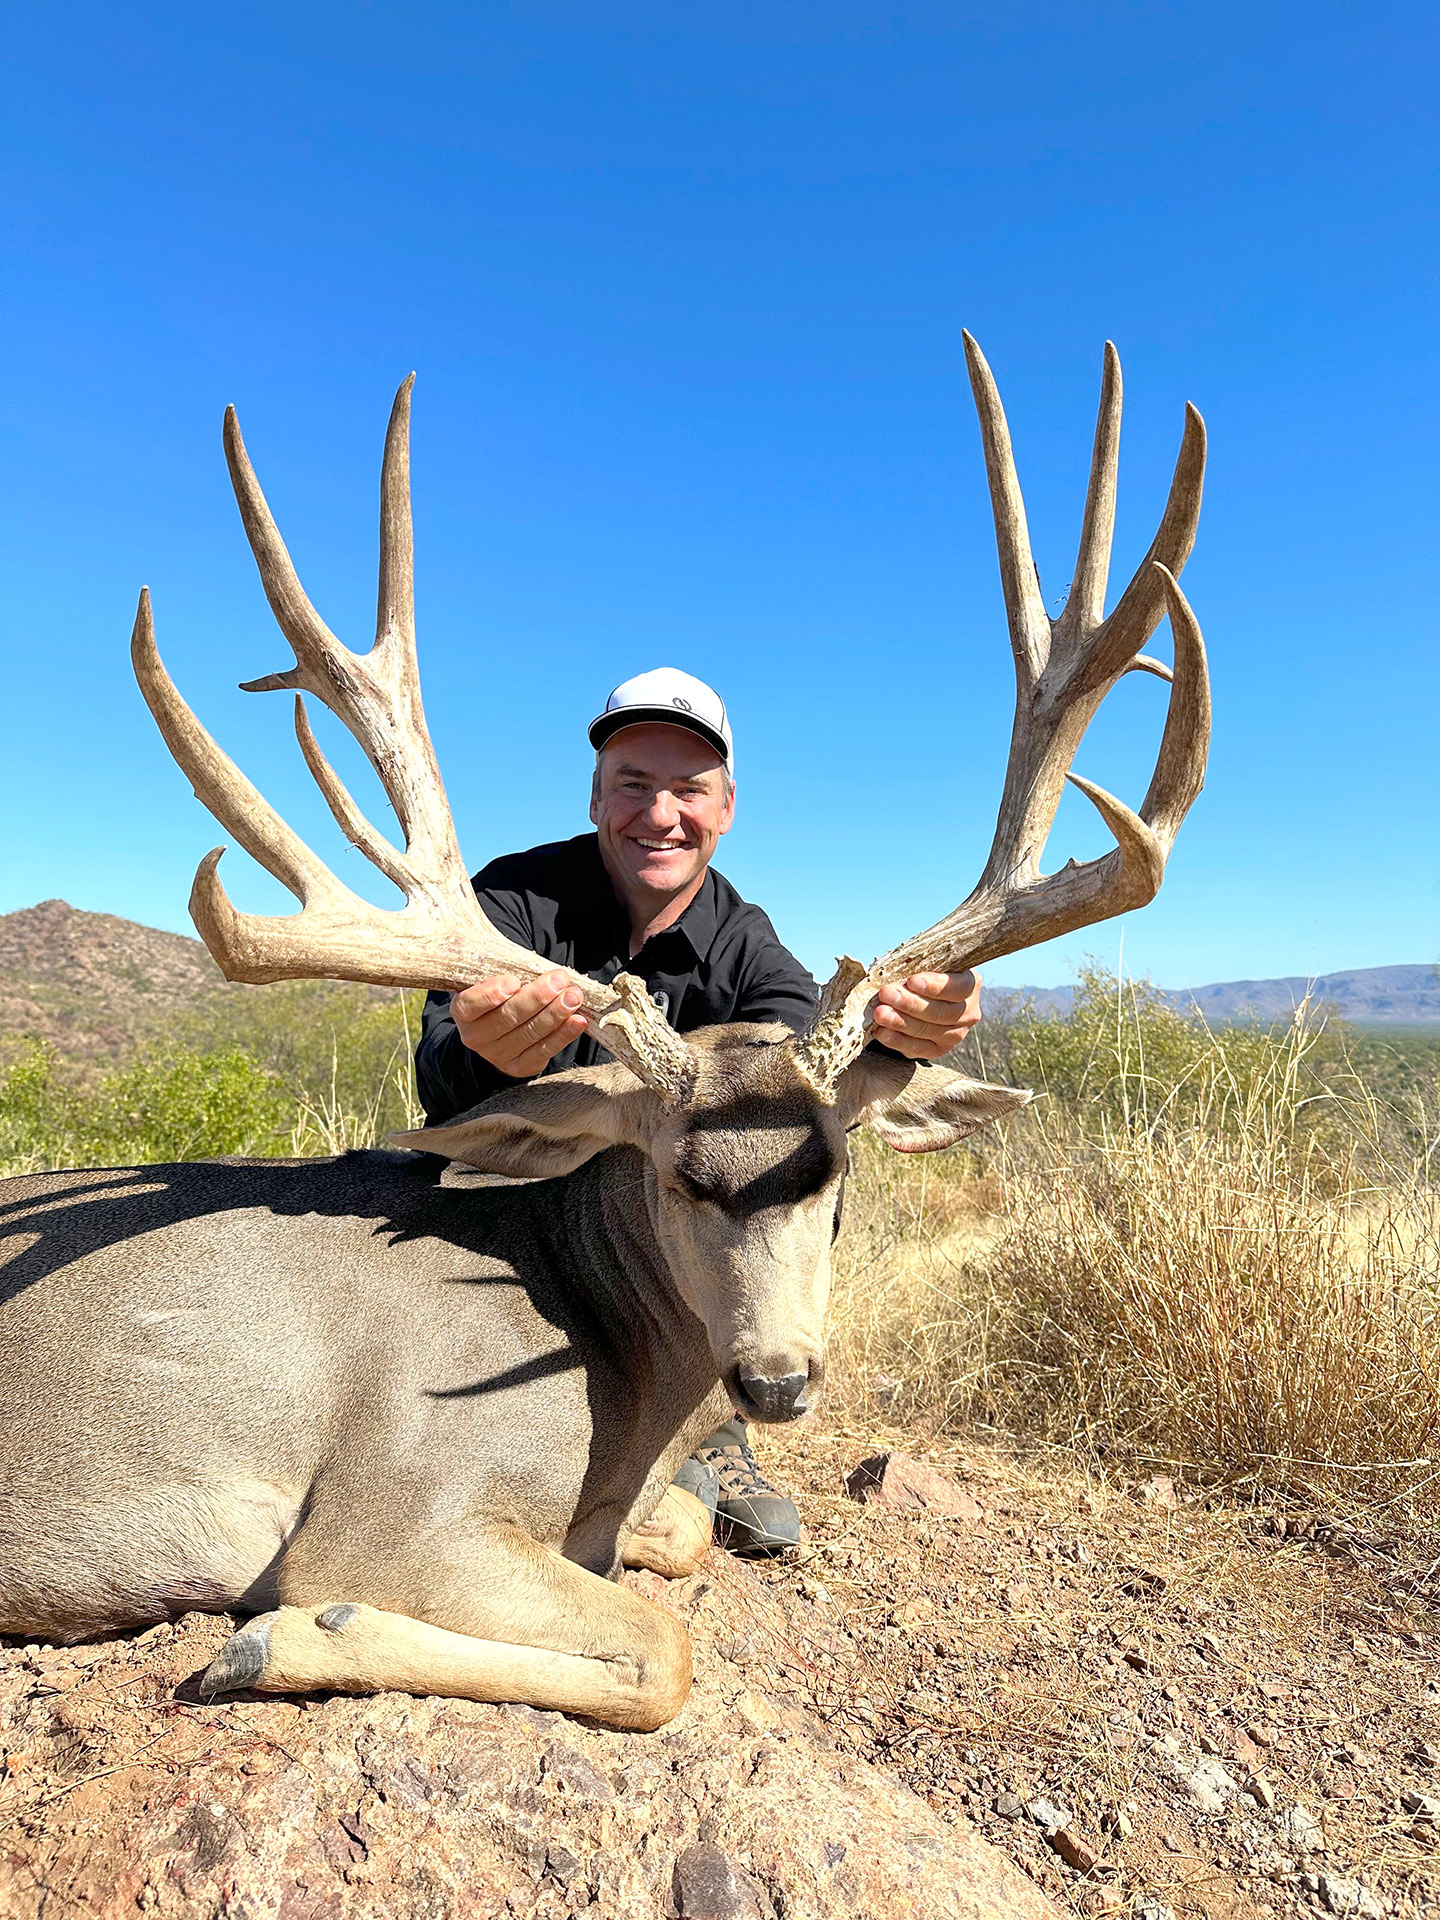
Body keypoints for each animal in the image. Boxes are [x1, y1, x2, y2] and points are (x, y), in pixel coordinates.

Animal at [0, 337, 1209, 1730]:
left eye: (833, 1174)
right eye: (676, 1177)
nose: (778, 1384)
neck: (612, 1371)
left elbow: (677, 1541)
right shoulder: (389, 1507)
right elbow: (660, 1649)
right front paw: (280, 1640)